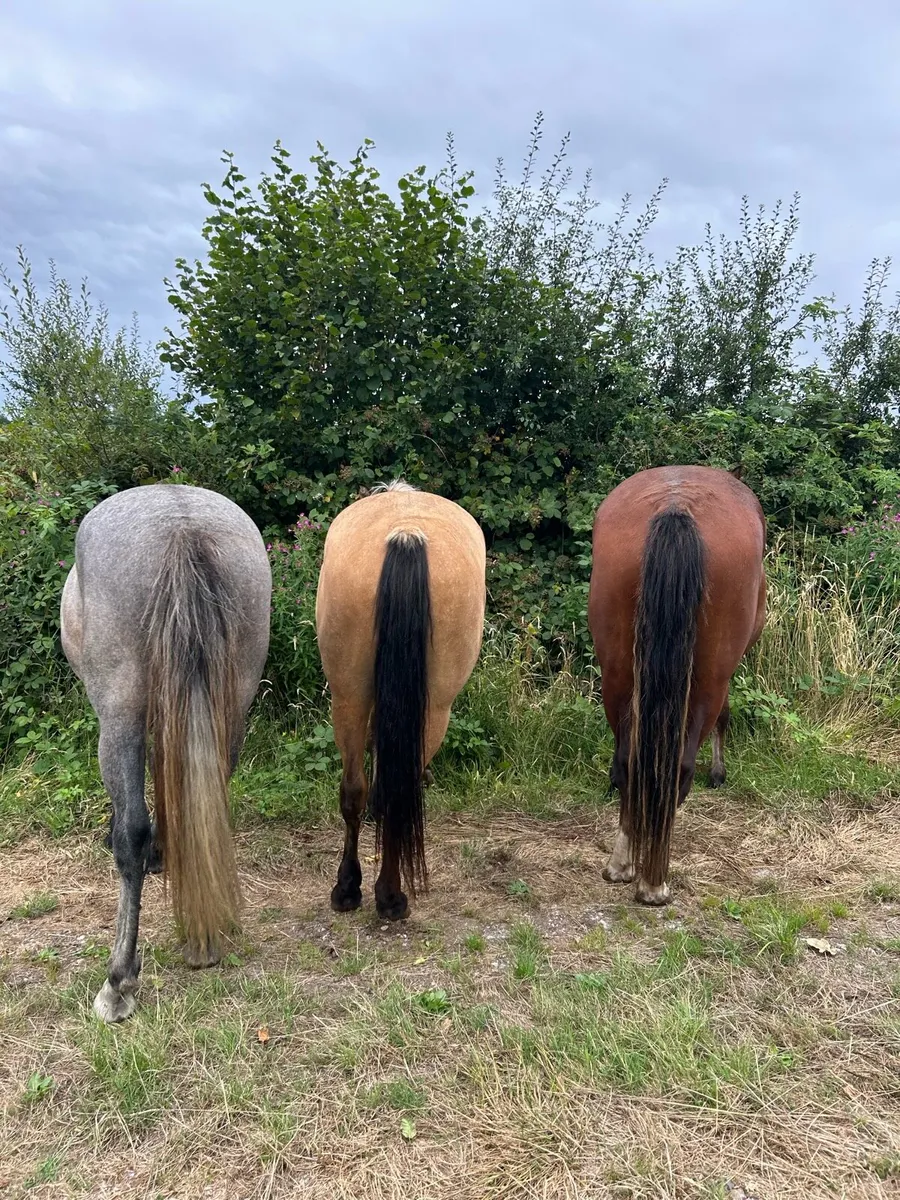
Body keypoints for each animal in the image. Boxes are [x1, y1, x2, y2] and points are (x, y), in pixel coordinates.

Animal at [315, 482, 486, 921]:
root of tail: (406, 532)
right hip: (436, 710)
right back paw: (390, 896)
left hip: (348, 697)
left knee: (354, 791)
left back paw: (348, 888)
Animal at [587, 466, 766, 905]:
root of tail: (676, 507)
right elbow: (726, 715)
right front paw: (718, 771)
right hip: (708, 678)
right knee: (680, 767)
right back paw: (654, 882)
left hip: (618, 674)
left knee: (628, 763)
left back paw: (622, 864)